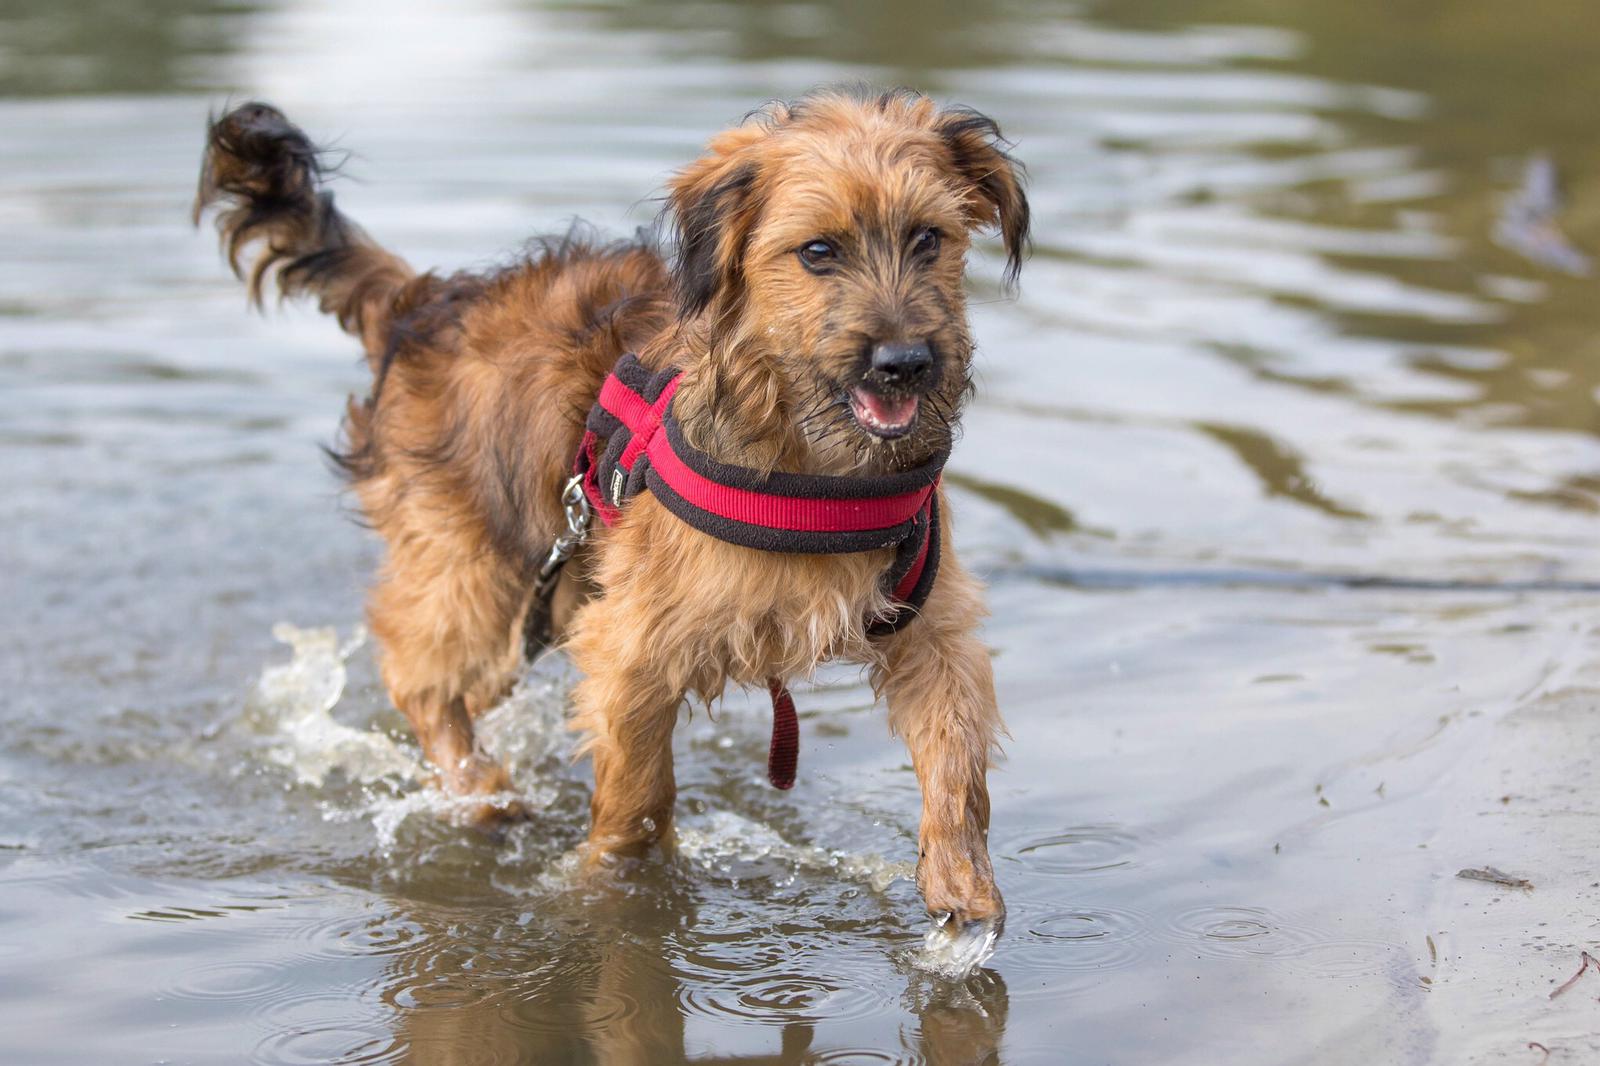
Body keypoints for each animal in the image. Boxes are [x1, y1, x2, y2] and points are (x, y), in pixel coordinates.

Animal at [193, 87, 1030, 941]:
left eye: (928, 239)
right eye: (819, 251)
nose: (905, 363)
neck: (808, 461)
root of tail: (422, 302)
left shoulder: (930, 625)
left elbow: (954, 750)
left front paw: (961, 886)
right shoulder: (633, 645)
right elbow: (636, 795)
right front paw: (609, 886)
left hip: (540, 595)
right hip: (472, 572)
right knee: (418, 677)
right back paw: (481, 791)